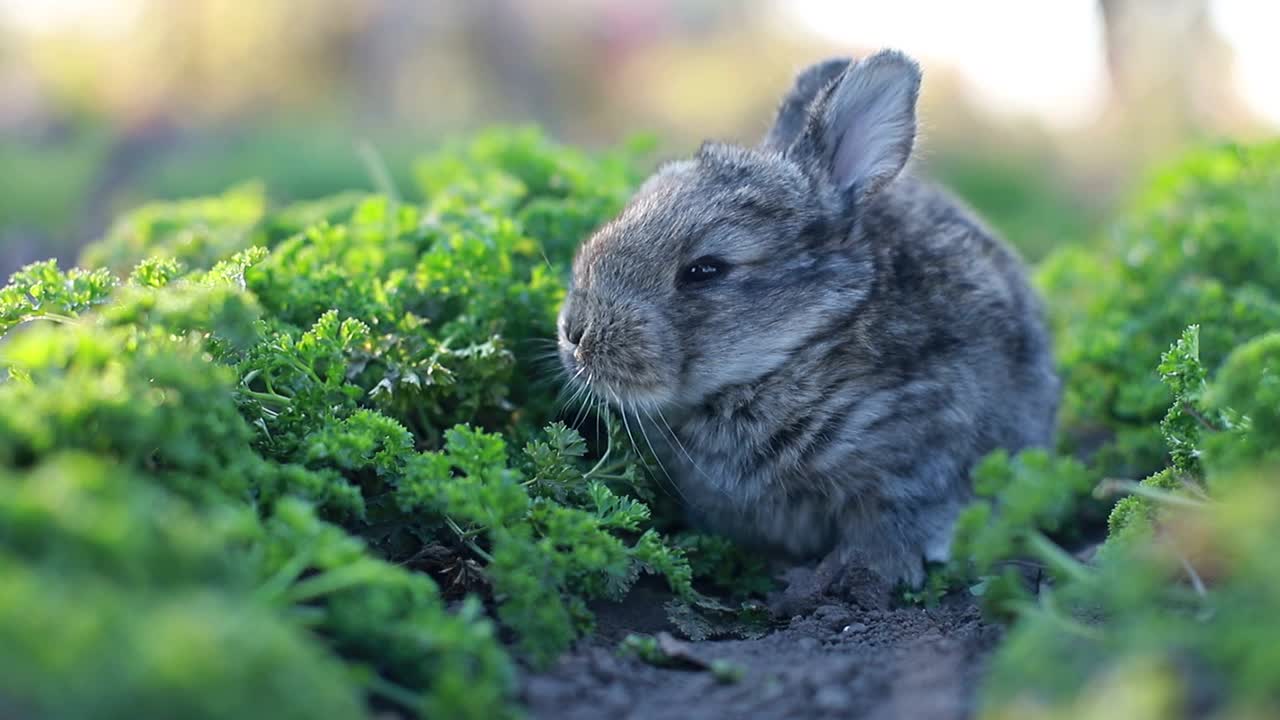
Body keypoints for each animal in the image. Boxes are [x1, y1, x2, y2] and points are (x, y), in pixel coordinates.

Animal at [560, 50, 1059, 609]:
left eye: (705, 269)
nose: (575, 334)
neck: (806, 343)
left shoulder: (915, 465)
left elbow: (887, 530)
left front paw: (848, 579)